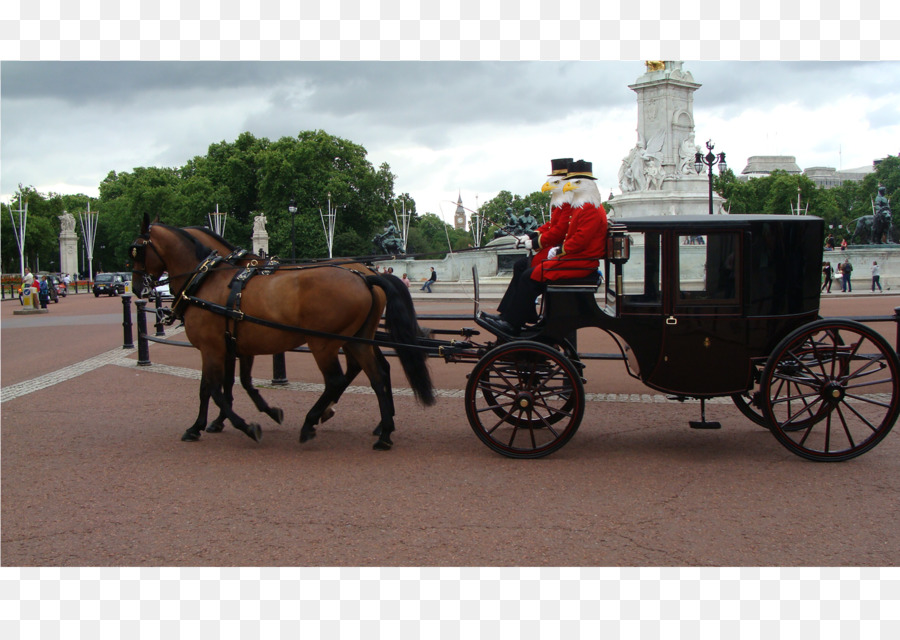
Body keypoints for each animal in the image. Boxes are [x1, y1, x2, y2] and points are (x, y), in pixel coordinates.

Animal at [131, 215, 436, 450]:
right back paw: (383, 432)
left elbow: (212, 388)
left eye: (136, 250)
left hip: (323, 343)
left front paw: (237, 425)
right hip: (357, 340)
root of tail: (365, 275)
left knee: (337, 379)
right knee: (378, 374)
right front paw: (222, 421)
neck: (207, 279)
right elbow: (234, 384)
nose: (137, 288)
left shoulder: (212, 348)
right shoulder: (236, 346)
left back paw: (313, 422)